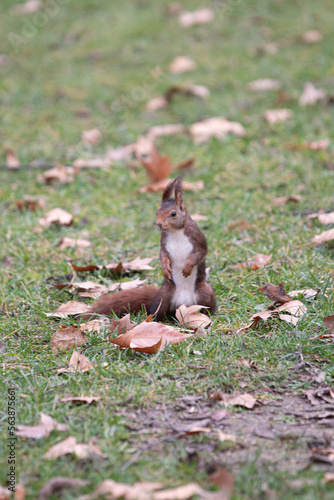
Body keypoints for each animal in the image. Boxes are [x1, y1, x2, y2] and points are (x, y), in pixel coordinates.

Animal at [83, 178, 217, 322]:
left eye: (173, 213)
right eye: (156, 212)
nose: (159, 224)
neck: (176, 232)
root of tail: (184, 305)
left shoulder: (198, 239)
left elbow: (199, 253)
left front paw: (187, 267)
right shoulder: (164, 243)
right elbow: (163, 255)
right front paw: (165, 268)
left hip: (205, 293)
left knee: (207, 306)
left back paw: (208, 315)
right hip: (164, 296)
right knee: (159, 311)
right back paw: (158, 320)